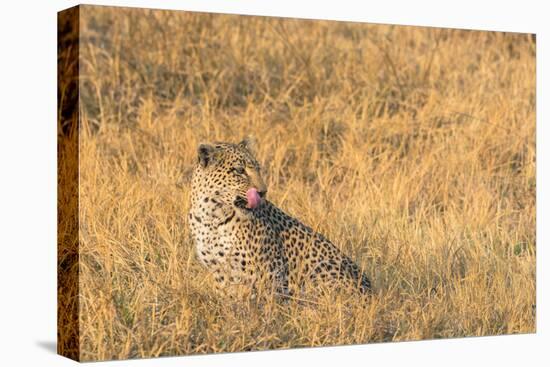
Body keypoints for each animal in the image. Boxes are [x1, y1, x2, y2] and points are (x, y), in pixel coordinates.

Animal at [188, 138, 374, 300]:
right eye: (239, 170)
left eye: (258, 169)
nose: (263, 192)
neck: (212, 216)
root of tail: (371, 292)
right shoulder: (219, 272)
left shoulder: (268, 270)